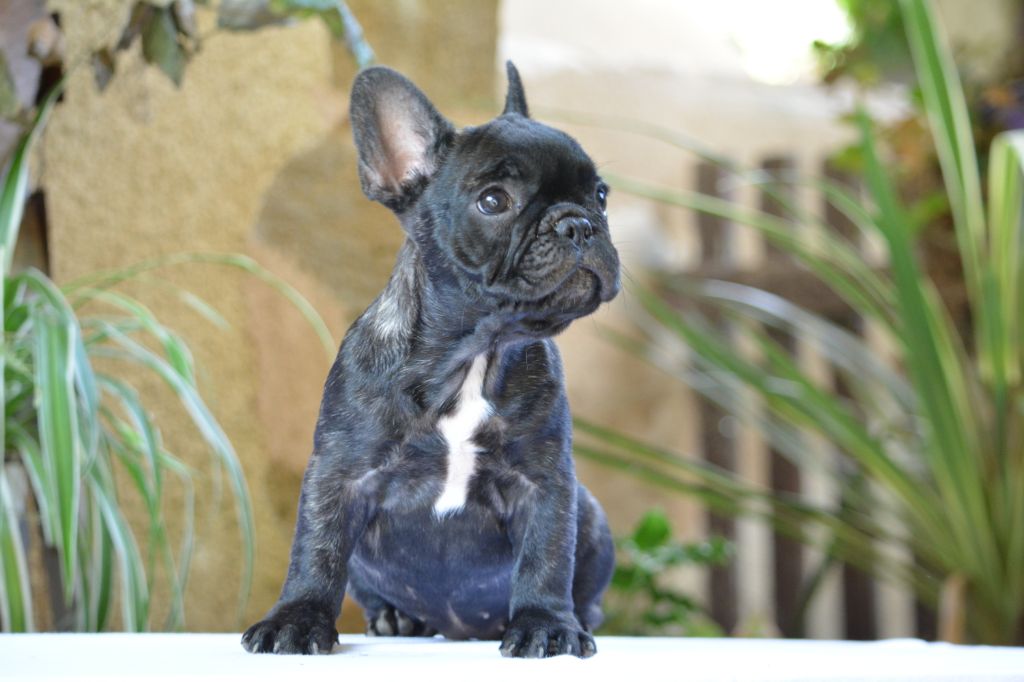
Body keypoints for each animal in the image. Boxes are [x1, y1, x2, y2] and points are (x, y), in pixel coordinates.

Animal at [243, 61, 618, 655]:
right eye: (493, 200)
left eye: (601, 195)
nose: (578, 223)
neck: (476, 352)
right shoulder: (339, 474)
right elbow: (317, 551)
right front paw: (296, 619)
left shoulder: (546, 482)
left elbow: (547, 556)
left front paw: (545, 624)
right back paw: (395, 618)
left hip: (594, 517)